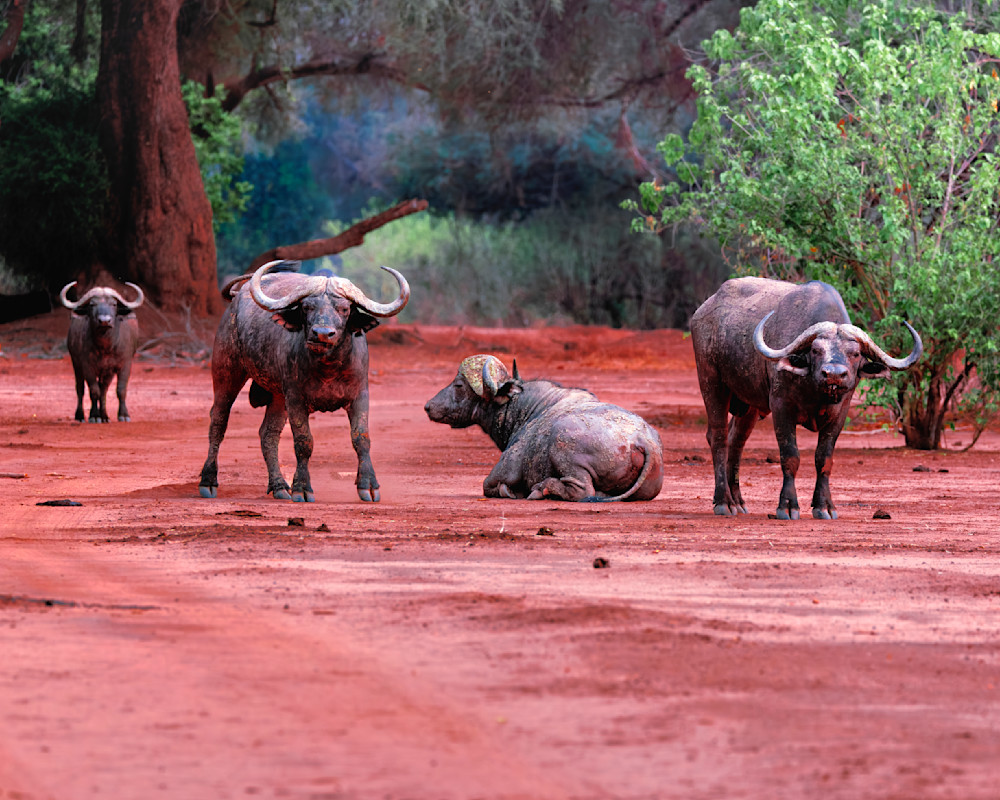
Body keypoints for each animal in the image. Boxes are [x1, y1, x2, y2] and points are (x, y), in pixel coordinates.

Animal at [59, 281, 145, 422]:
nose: (104, 320)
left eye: (114, 304)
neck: (106, 346)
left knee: (104, 389)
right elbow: (94, 391)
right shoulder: (87, 366)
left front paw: (123, 415)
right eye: (92, 304)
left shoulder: (124, 364)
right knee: (80, 388)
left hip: (107, 372)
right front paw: (94, 416)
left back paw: (104, 416)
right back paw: (80, 415)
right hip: (75, 363)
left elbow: (121, 390)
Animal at [198, 260, 409, 502]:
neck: (328, 368)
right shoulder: (296, 399)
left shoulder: (360, 395)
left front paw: (368, 485)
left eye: (344, 309)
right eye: (307, 307)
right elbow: (304, 442)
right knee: (218, 421)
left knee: (268, 433)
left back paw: (279, 486)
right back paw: (208, 481)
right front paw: (302, 488)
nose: (322, 333)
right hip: (227, 372)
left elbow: (361, 438)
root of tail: (234, 302)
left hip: (278, 396)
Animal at [425, 354, 663, 501]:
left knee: (583, 489)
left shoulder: (503, 471)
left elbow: (490, 486)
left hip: (562, 444)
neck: (528, 409)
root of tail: (644, 440)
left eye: (459, 385)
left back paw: (542, 488)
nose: (428, 406)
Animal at [689, 277, 922, 520]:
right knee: (718, 438)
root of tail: (702, 311)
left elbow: (824, 459)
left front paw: (824, 506)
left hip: (749, 405)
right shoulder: (781, 407)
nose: (834, 374)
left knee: (736, 441)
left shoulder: (840, 413)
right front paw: (788, 505)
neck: (816, 393)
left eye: (855, 353)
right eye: (816, 350)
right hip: (711, 382)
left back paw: (738, 502)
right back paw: (723, 502)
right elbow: (790, 456)